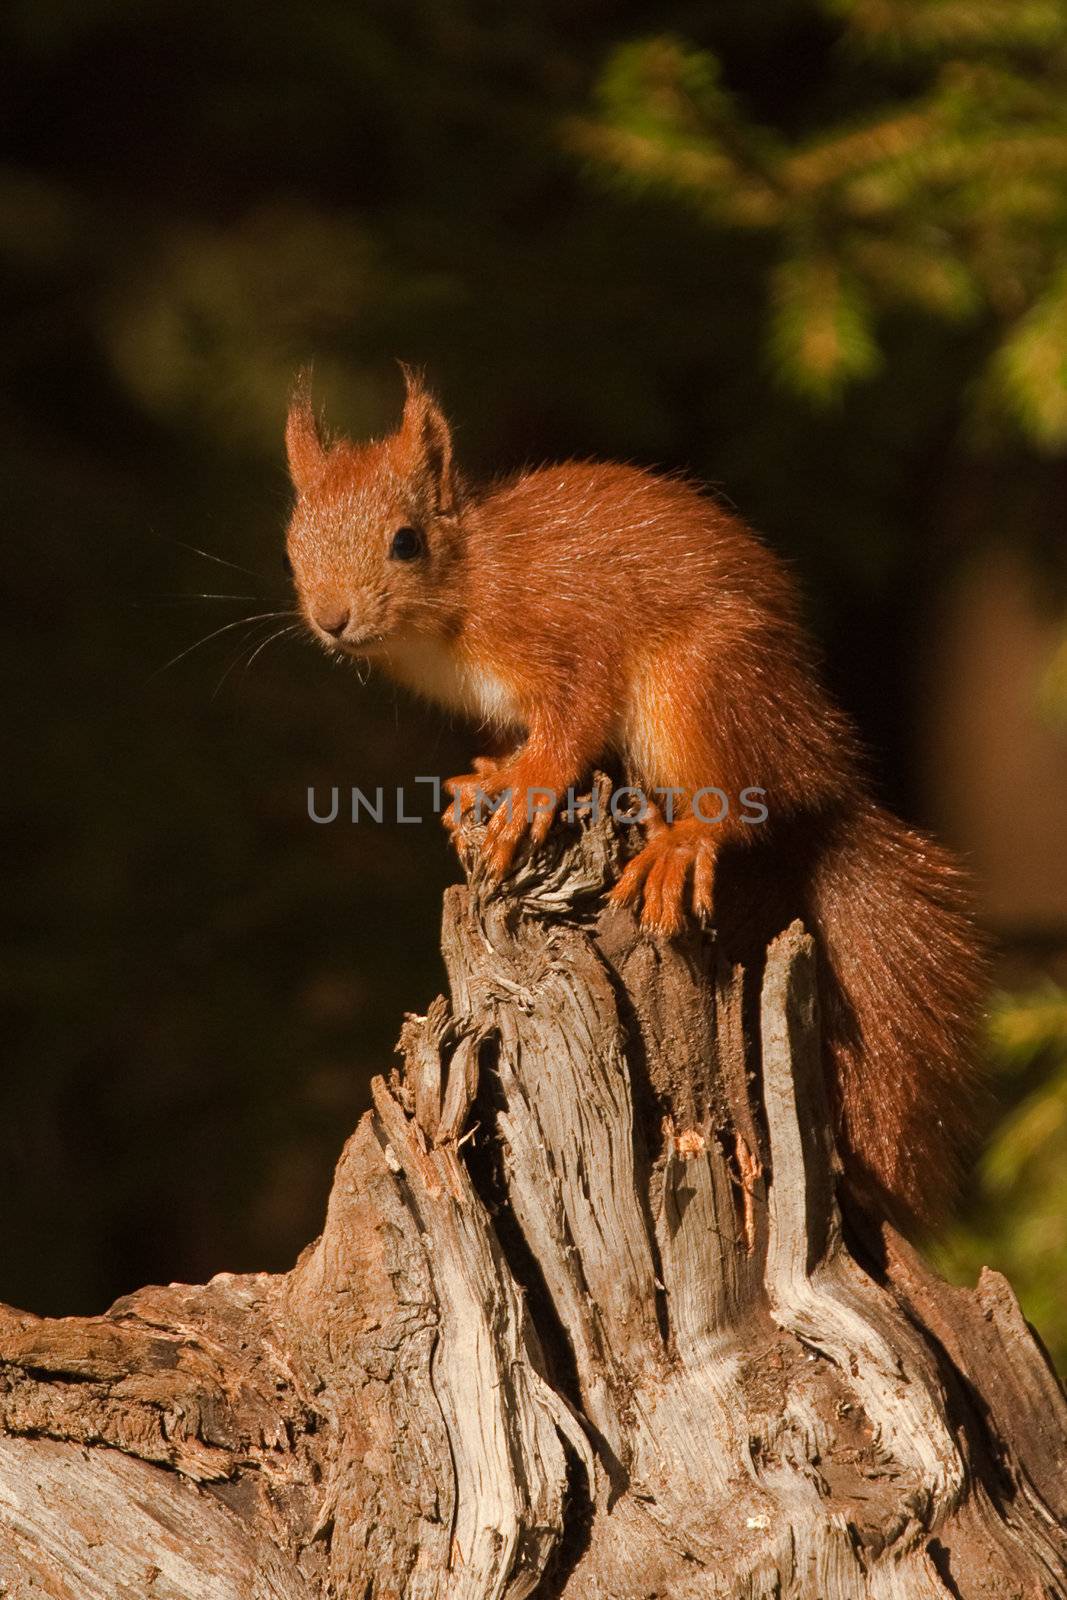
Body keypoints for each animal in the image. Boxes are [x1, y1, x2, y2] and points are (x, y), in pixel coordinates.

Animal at [283, 371, 985, 1222]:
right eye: (292, 543)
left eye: (405, 541)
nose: (332, 619)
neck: (468, 591)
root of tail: (817, 768)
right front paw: (484, 779)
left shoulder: (568, 640)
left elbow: (572, 724)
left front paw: (526, 788)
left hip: (699, 687)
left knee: (736, 801)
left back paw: (681, 844)